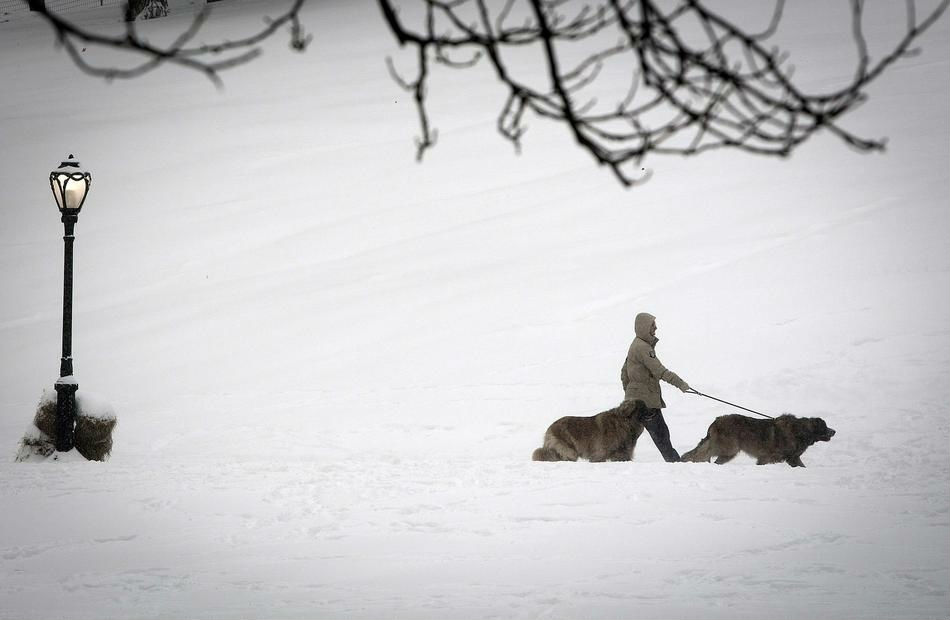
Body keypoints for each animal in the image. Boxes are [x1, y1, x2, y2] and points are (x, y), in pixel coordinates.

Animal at [680, 414, 836, 468]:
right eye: (824, 426)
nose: (834, 431)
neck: (800, 431)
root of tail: (716, 421)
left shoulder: (793, 458)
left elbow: (801, 465)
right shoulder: (768, 457)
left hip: (726, 450)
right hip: (728, 448)